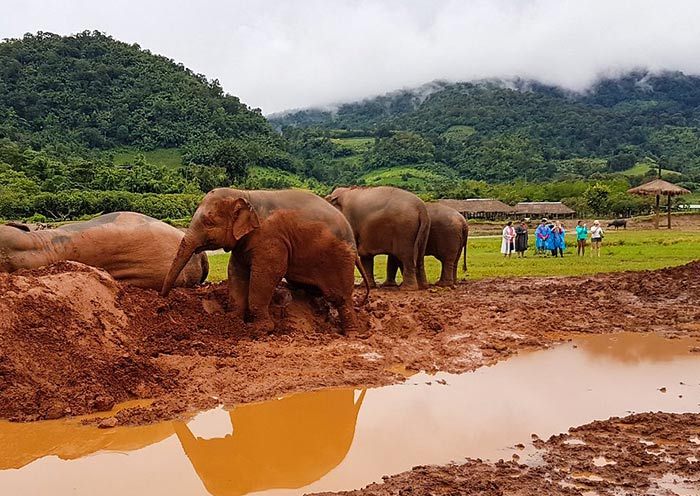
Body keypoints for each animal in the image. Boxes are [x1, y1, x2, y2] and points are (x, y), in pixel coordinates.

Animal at [160, 188, 370, 335]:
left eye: (209, 223)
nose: (162, 302)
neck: (245, 195)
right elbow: (236, 272)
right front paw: (232, 320)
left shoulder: (271, 240)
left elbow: (267, 274)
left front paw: (259, 329)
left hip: (339, 260)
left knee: (340, 297)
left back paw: (351, 334)